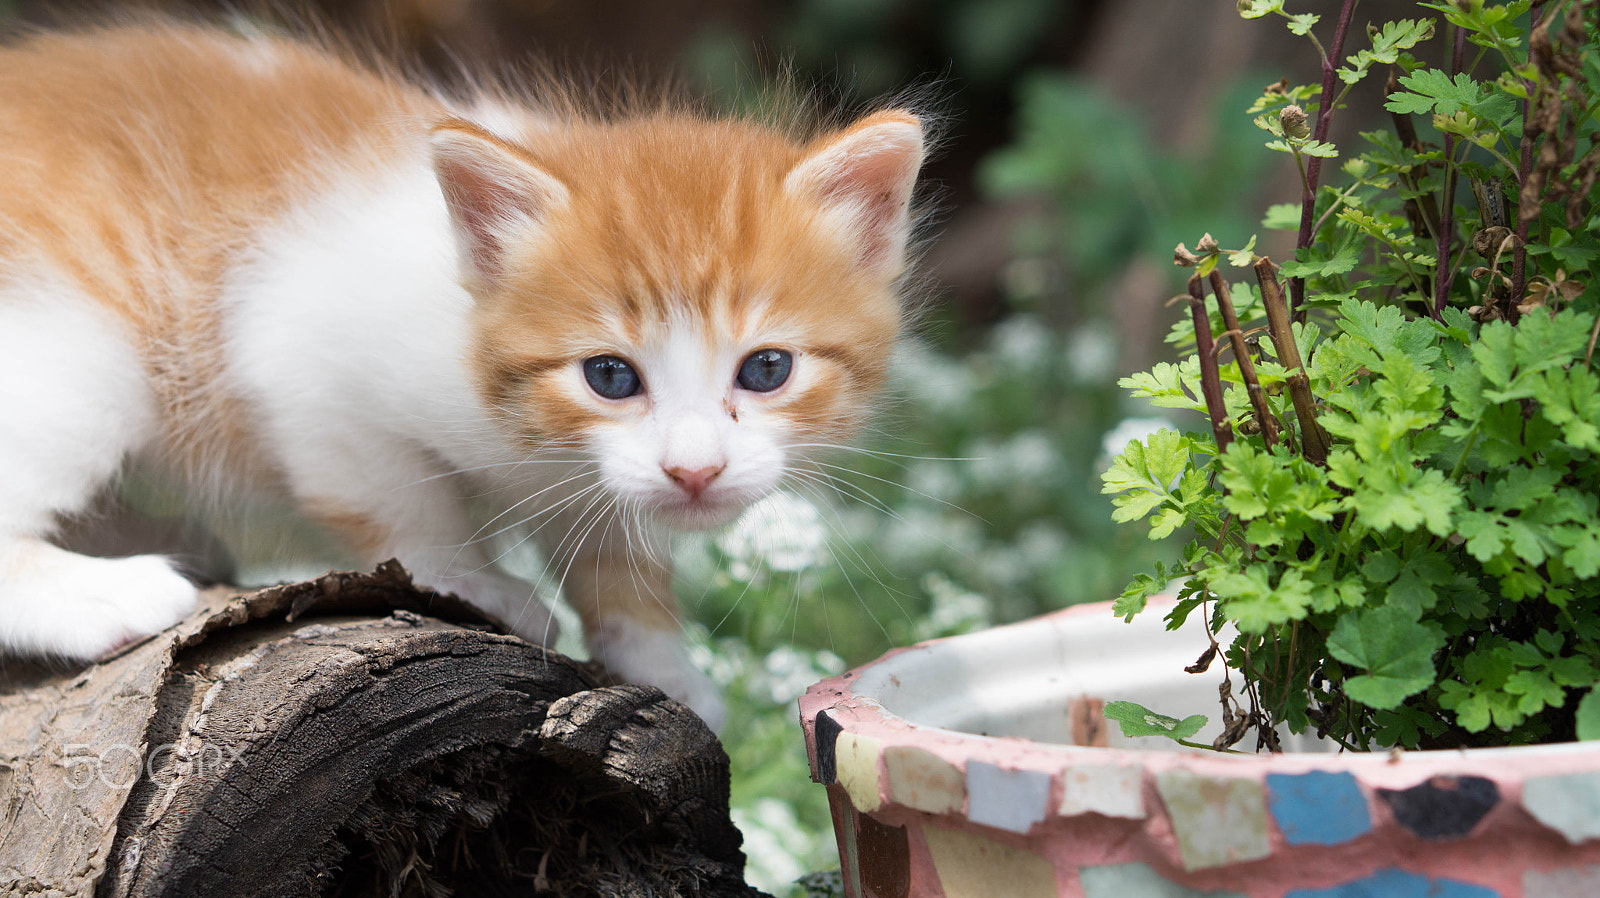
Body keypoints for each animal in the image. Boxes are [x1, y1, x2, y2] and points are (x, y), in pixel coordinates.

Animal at [0, 22, 928, 729]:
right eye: (610, 377)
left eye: (766, 368)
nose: (696, 471)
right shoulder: (296, 358)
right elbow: (398, 505)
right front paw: (472, 579)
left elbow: (612, 540)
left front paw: (663, 660)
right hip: (87, 355)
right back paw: (106, 595)